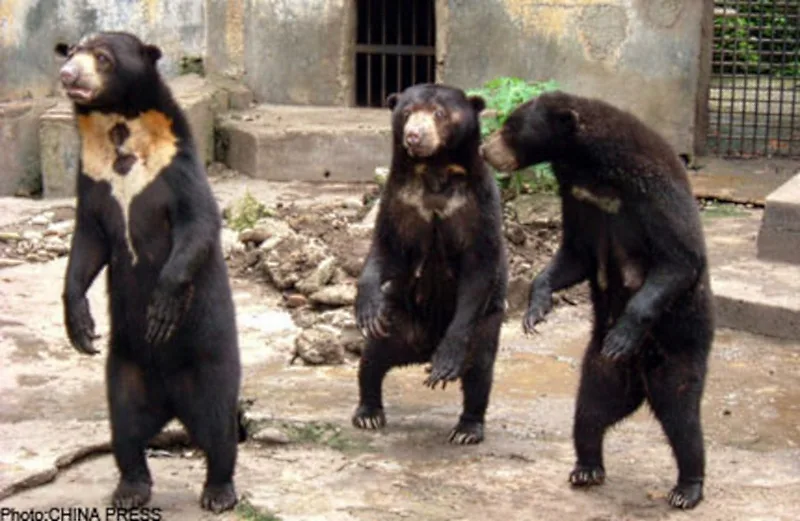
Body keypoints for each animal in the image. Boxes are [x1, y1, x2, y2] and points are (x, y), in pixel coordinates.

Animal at [55, 32, 241, 513]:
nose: (67, 75)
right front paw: (80, 326)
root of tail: (172, 403)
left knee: (219, 427)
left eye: (102, 57)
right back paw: (131, 488)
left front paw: (159, 311)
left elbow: (198, 224)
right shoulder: (92, 177)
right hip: (126, 369)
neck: (119, 128)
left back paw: (218, 492)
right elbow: (88, 242)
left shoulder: (175, 165)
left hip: (211, 362)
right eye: (71, 52)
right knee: (124, 429)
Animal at [352, 83, 508, 445]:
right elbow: (386, 249)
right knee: (372, 359)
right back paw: (368, 411)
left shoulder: (477, 205)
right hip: (399, 317)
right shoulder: (400, 200)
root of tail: (424, 347)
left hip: (487, 323)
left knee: (480, 370)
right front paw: (366, 308)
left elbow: (480, 267)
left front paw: (448, 361)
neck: (435, 171)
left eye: (439, 113)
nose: (414, 135)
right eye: (408, 112)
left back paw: (467, 426)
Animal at [480, 91, 714, 509]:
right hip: (601, 371)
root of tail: (640, 384)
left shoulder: (651, 189)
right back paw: (586, 467)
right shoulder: (578, 200)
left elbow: (678, 258)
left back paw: (687, 489)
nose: (484, 149)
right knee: (589, 411)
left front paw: (623, 333)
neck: (591, 169)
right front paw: (535, 310)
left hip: (680, 351)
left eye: (510, 126)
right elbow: (576, 254)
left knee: (682, 419)